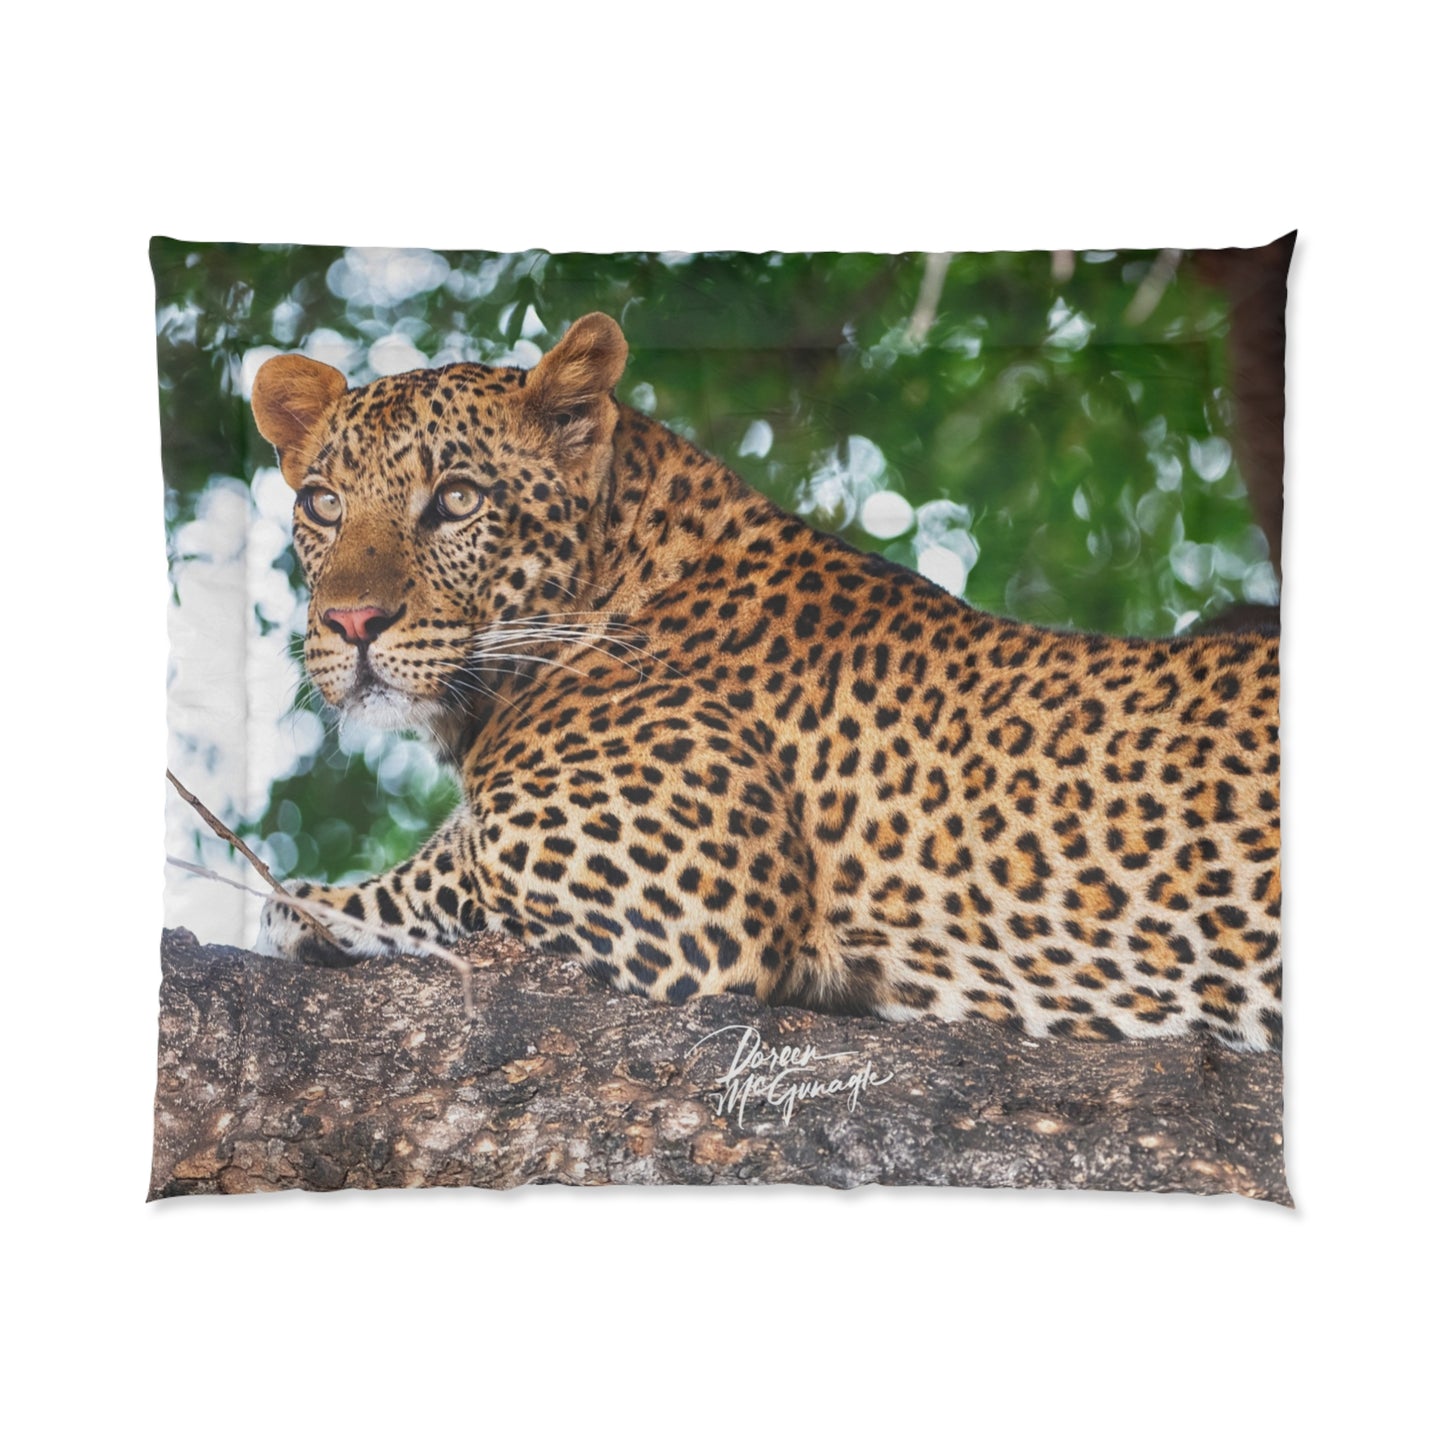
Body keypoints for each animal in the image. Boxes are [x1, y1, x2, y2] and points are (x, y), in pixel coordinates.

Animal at [249, 312, 1282, 1050]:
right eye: (323, 505)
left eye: (457, 499)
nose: (352, 624)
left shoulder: (673, 881)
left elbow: (432, 870)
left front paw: (305, 906)